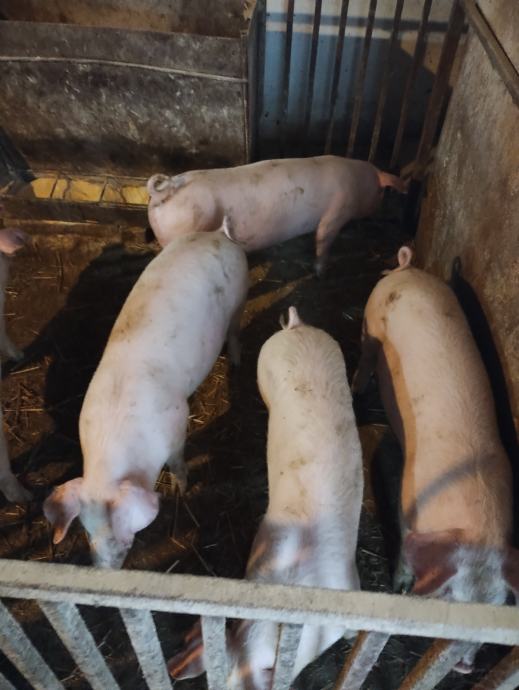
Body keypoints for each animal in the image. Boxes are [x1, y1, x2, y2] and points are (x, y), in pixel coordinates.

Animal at [44, 220, 248, 568]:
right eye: (86, 530)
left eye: (120, 532)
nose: (103, 569)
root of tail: (218, 234)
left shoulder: (177, 421)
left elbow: (178, 462)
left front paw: (181, 489)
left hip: (240, 297)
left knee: (234, 331)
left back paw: (234, 360)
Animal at [147, 155, 407, 275]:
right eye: (382, 191)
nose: (381, 209)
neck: (357, 183)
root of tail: (167, 188)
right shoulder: (334, 216)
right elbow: (323, 241)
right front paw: (321, 272)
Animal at [353, 246, 519, 672]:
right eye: (448, 596)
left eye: (496, 606)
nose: (464, 666)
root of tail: (409, 270)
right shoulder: (408, 504)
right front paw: (400, 586)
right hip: (370, 318)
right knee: (363, 357)